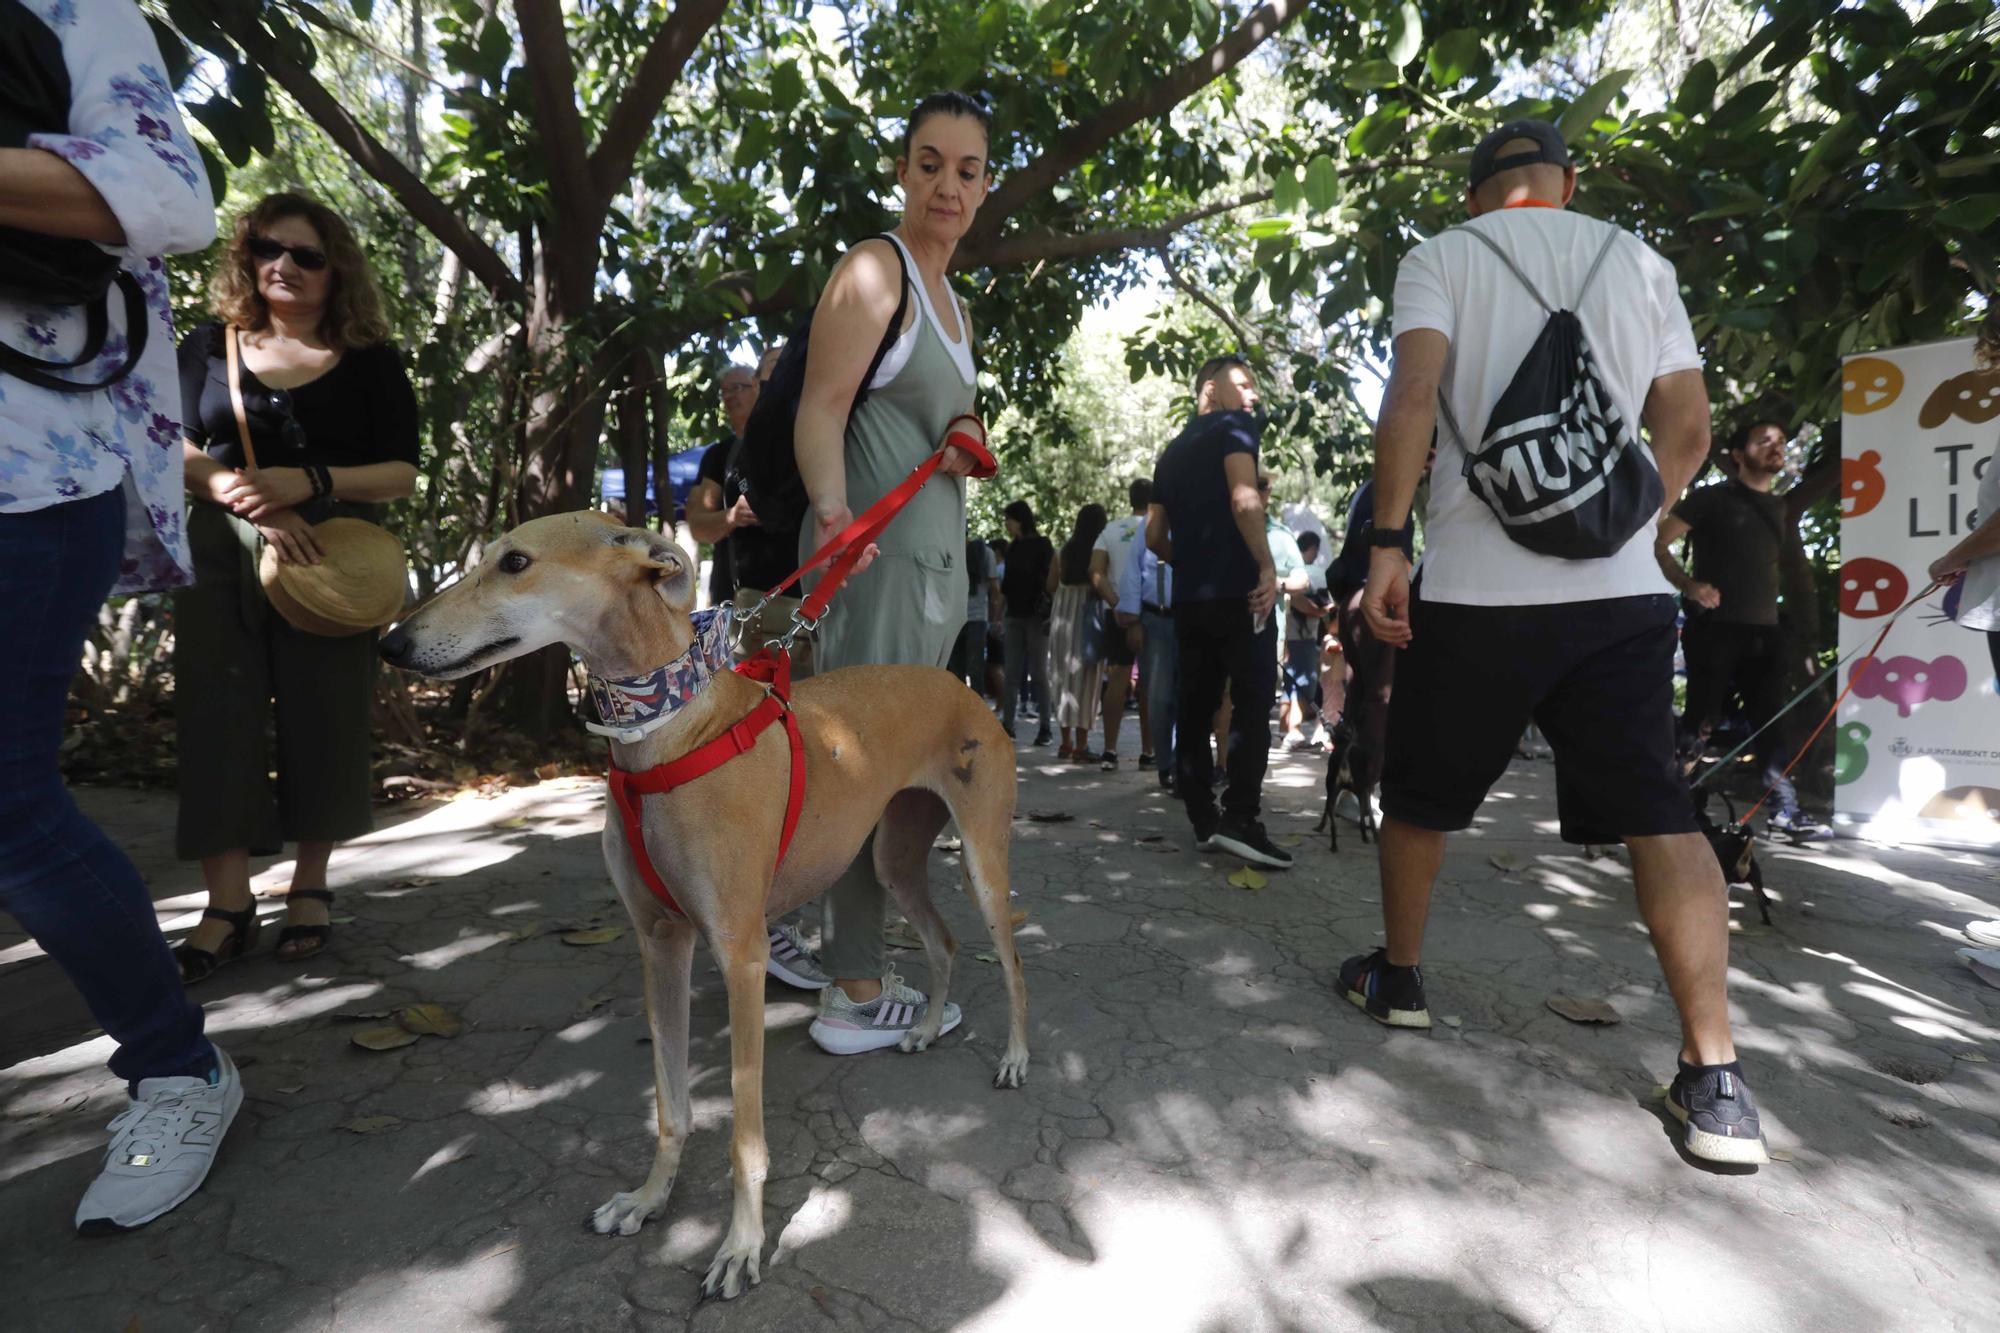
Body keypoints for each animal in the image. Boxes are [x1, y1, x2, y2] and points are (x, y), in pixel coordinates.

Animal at [378, 510, 1032, 1296]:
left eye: (514, 562)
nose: (391, 644)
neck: (661, 736)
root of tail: (963, 688)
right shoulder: (660, 943)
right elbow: (671, 1103)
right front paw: (647, 1198)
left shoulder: (739, 955)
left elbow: (743, 1137)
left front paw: (741, 1245)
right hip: (893, 857)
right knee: (944, 940)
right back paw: (927, 1027)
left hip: (983, 861)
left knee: (1011, 962)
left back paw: (1016, 1059)